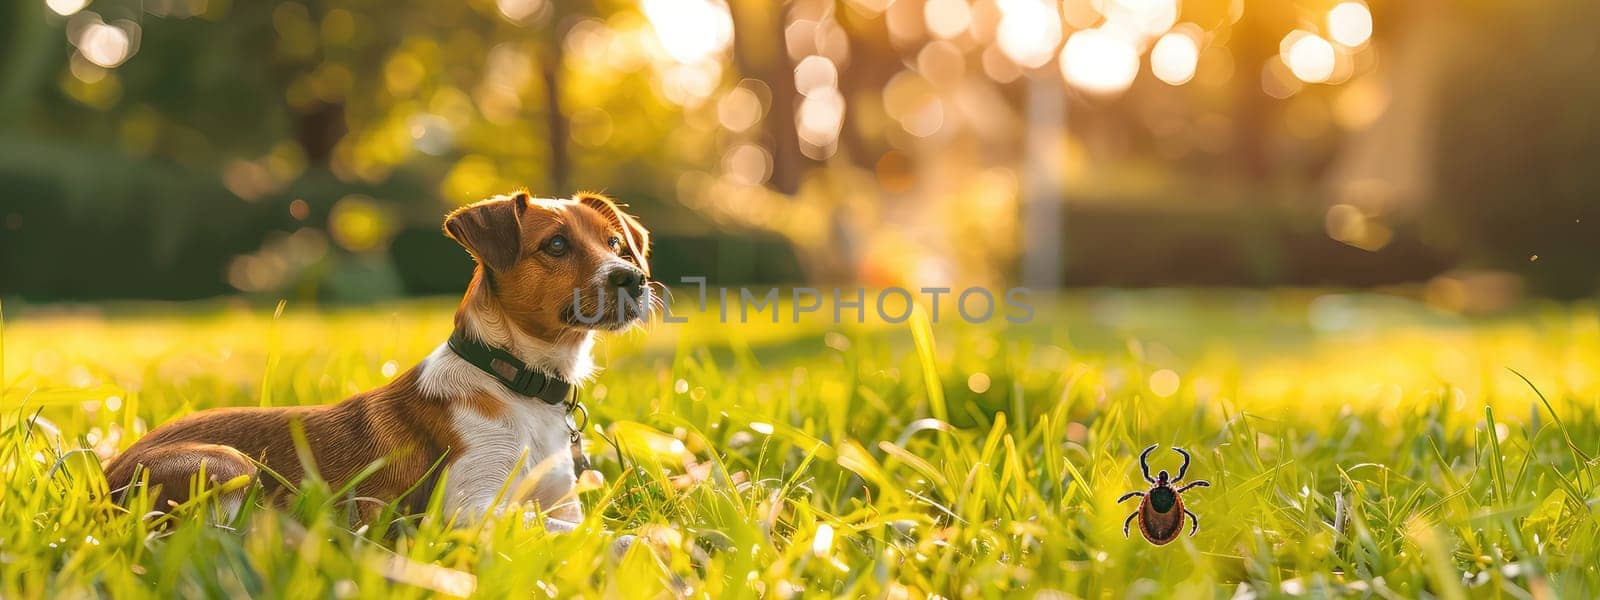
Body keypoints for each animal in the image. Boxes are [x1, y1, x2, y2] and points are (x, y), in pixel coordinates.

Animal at [104, 188, 649, 534]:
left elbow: (574, 523)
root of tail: (104, 479)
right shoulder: (465, 511)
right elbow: (581, 531)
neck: (517, 385)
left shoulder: (561, 502)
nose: (634, 279)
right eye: (555, 244)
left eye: (615, 244)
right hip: (226, 463)